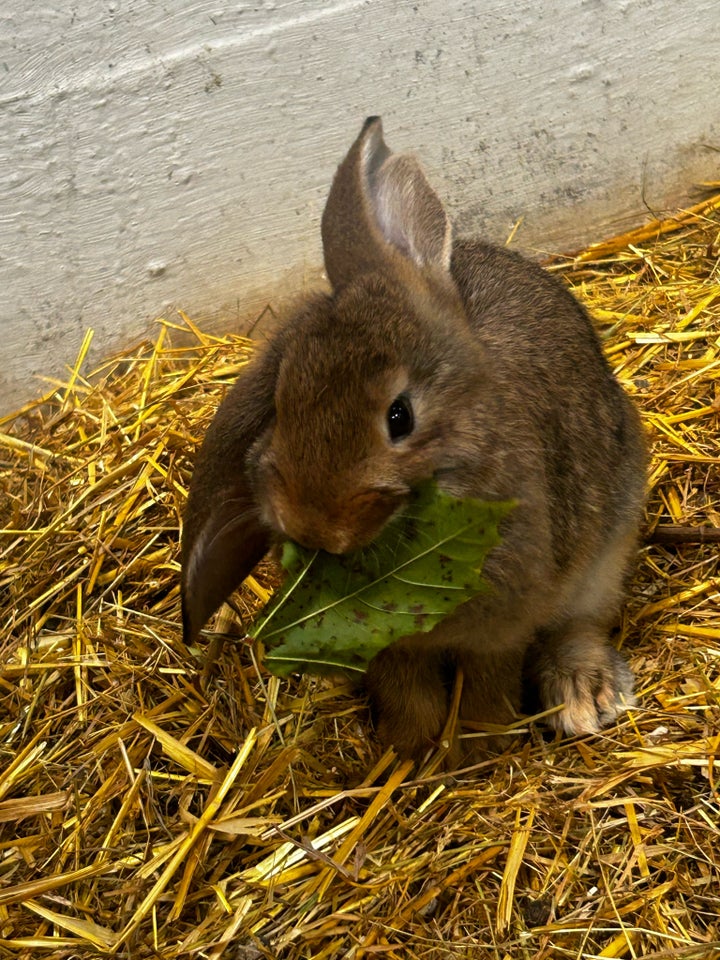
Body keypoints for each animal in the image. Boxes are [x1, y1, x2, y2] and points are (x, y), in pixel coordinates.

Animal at [180, 116, 648, 760]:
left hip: (608, 549)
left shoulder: (500, 627)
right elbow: (408, 696)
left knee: (581, 623)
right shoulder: (387, 646)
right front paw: (405, 751)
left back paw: (584, 695)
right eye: (279, 401)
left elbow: (486, 687)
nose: (312, 527)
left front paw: (476, 748)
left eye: (399, 418)